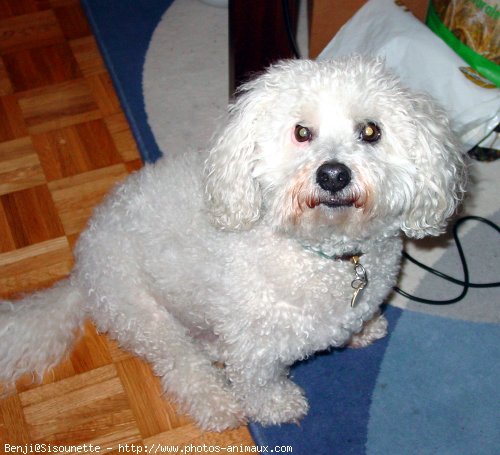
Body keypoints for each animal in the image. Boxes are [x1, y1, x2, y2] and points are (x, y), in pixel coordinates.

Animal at [1, 57, 466, 432]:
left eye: (371, 131)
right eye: (302, 132)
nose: (333, 174)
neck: (324, 252)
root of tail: (81, 269)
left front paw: (365, 329)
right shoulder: (255, 347)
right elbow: (259, 382)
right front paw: (277, 406)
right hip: (143, 315)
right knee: (181, 366)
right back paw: (218, 404)